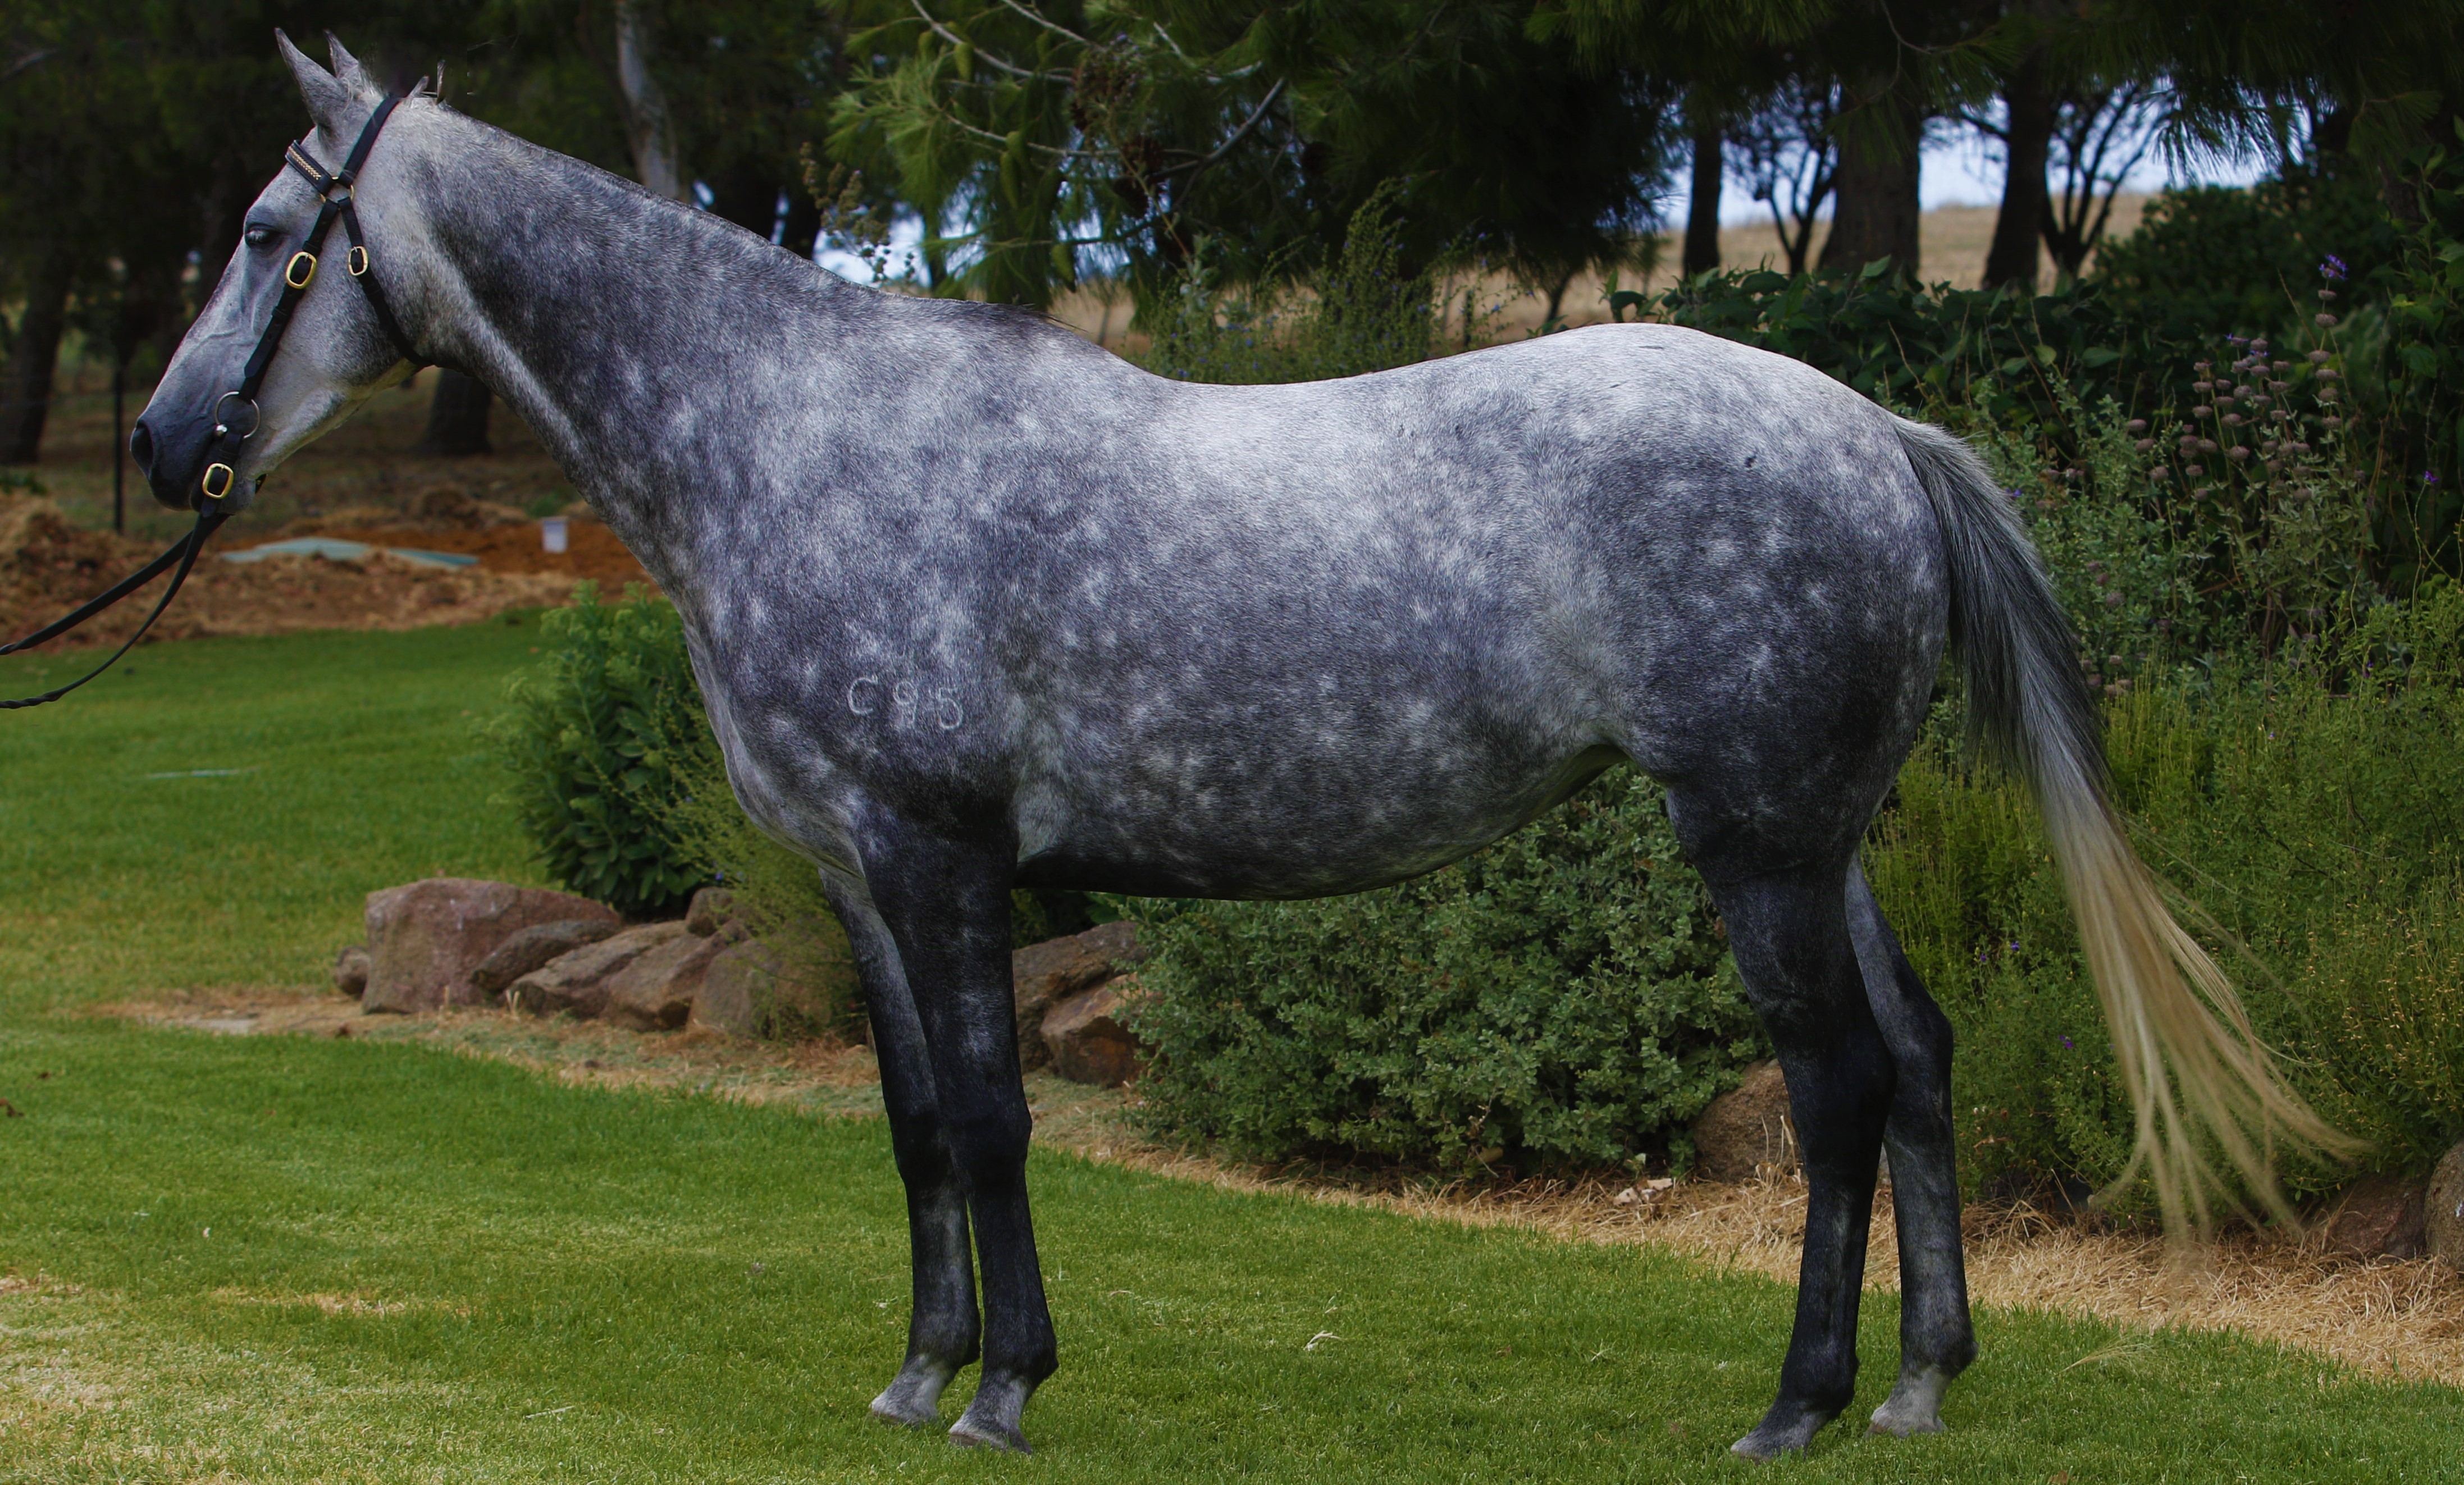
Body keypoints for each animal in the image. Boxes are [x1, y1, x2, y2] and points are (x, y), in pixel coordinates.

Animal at [130, 34, 2339, 1460]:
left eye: (260, 229)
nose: (162, 445)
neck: (798, 435)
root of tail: (1875, 431)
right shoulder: (858, 879)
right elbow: (914, 1126)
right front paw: (915, 1370)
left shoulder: (938, 856)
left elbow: (993, 1119)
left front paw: (1004, 1384)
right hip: (1822, 838)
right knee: (1924, 1062)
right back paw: (1916, 1379)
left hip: (1758, 850)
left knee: (1836, 1087)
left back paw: (1792, 1405)